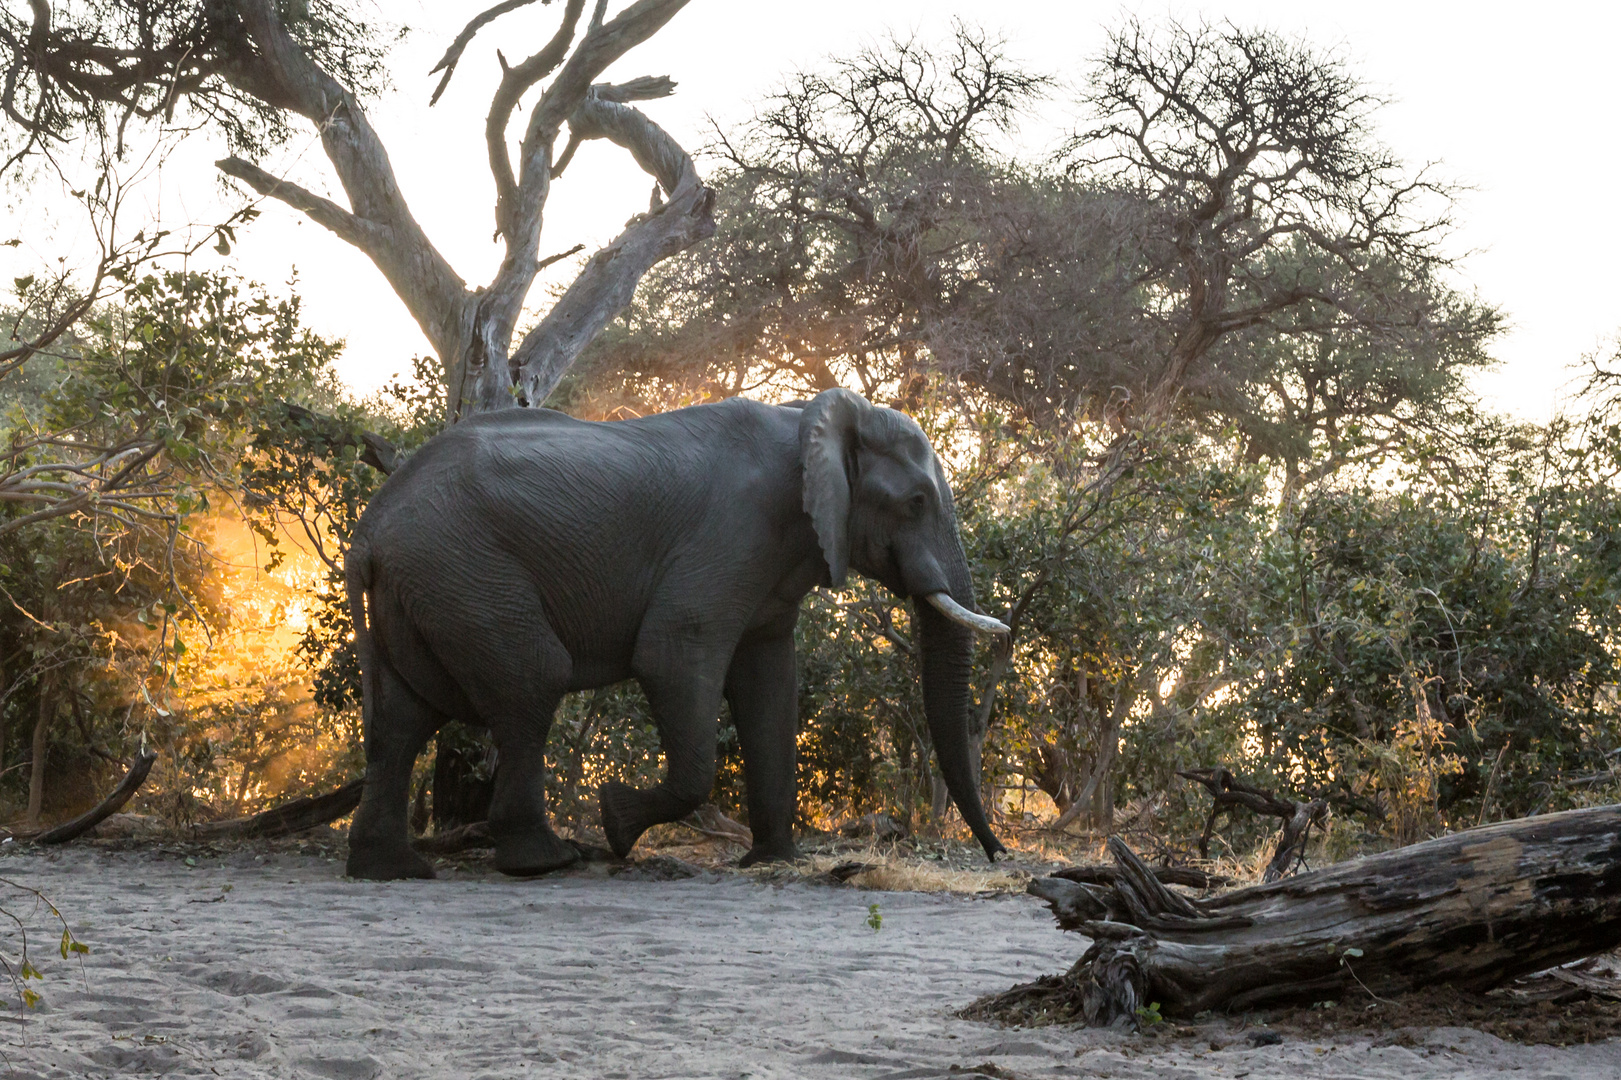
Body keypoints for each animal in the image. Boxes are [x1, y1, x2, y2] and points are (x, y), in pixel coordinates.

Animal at [342, 384, 1005, 875]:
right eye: (917, 502)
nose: (999, 855)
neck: (808, 418)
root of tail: (368, 529)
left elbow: (769, 682)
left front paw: (772, 861)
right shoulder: (731, 533)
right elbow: (670, 653)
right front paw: (615, 820)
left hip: (427, 587)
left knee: (404, 715)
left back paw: (393, 870)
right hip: (465, 572)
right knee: (533, 678)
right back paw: (548, 861)